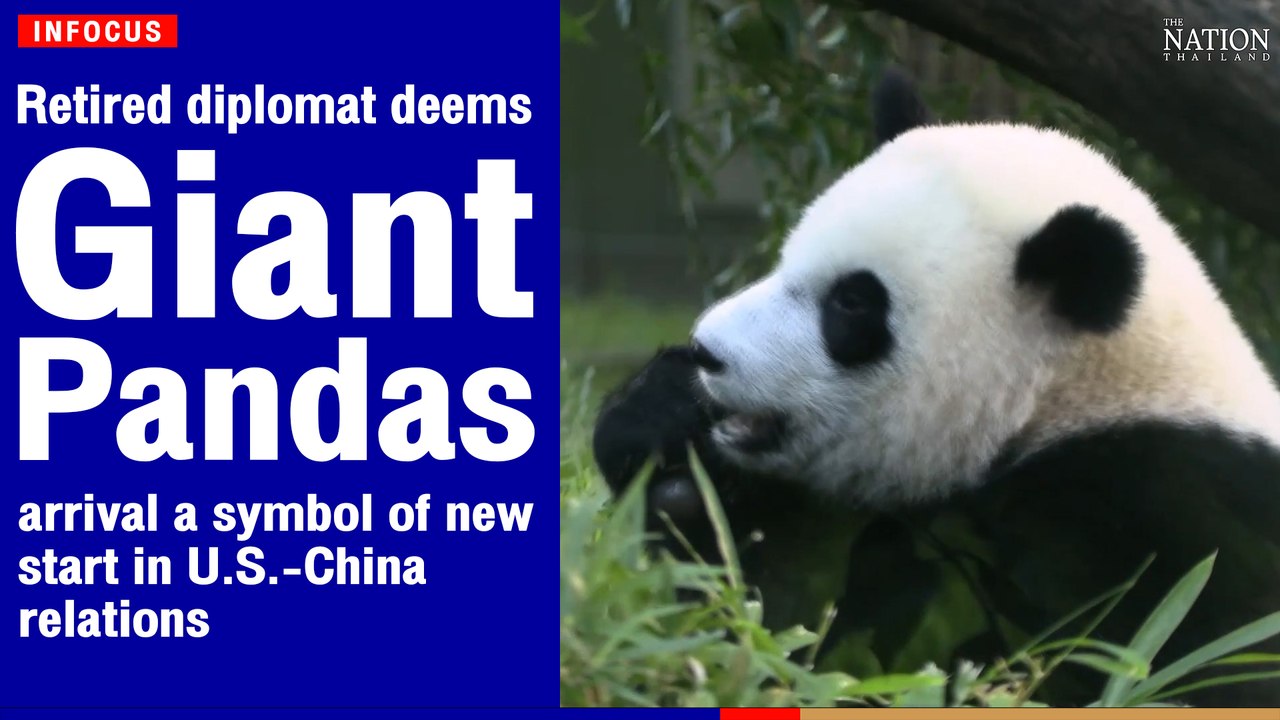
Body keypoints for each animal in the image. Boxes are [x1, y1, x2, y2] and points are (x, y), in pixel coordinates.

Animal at [593, 72, 1280, 706]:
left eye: (851, 303)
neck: (1072, 398)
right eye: (788, 258)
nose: (709, 351)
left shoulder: (1164, 509)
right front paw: (662, 426)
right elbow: (767, 621)